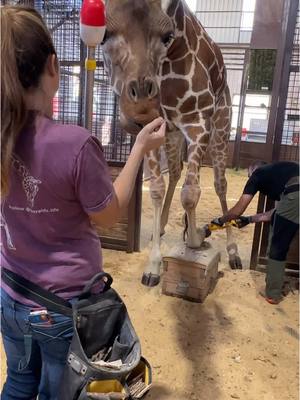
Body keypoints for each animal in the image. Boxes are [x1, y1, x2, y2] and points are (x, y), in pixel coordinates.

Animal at [102, 0, 243, 284]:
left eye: (166, 36)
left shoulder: (198, 124)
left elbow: (191, 194)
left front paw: (196, 238)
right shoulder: (156, 129)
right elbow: (157, 188)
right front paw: (153, 265)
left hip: (221, 125)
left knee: (219, 183)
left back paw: (232, 251)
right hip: (175, 134)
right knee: (177, 172)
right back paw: (166, 227)